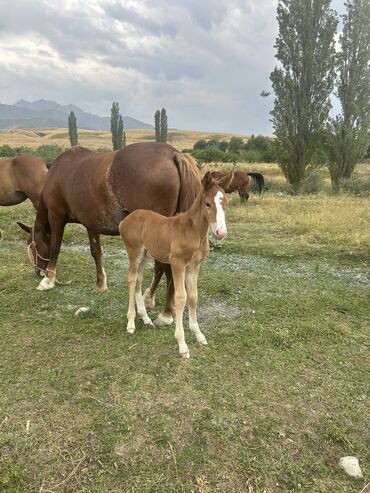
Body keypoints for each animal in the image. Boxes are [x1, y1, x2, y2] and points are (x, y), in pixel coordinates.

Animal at [18, 142, 201, 322]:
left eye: (31, 245)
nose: (38, 272)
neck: (57, 173)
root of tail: (173, 154)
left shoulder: (56, 217)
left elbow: (55, 248)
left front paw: (48, 279)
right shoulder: (91, 224)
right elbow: (96, 252)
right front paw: (100, 284)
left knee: (167, 268)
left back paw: (166, 313)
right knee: (161, 267)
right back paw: (150, 298)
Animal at [120, 169, 233, 358]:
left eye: (225, 203)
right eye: (208, 204)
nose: (220, 233)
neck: (193, 231)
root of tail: (126, 220)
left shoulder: (194, 266)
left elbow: (193, 296)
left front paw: (199, 335)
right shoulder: (177, 263)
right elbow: (181, 297)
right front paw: (182, 344)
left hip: (145, 254)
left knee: (138, 281)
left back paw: (146, 318)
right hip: (134, 252)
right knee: (131, 279)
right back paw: (131, 323)